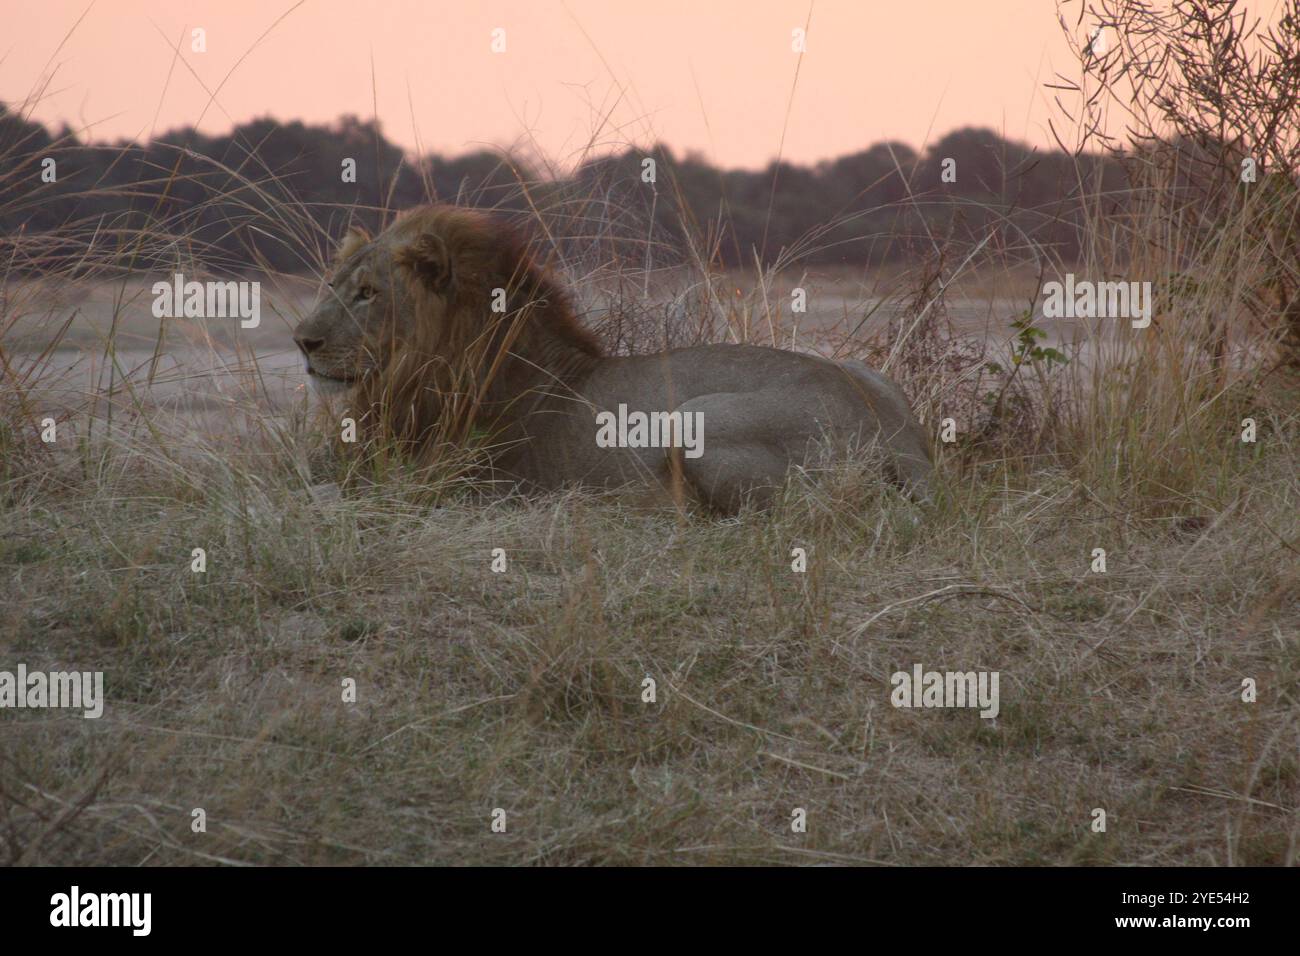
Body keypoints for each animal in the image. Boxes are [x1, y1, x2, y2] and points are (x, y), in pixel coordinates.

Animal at [289, 205, 930, 512]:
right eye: (333, 285)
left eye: (368, 293)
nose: (302, 341)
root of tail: (902, 439)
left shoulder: (448, 486)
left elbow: (321, 496)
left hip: (697, 419)